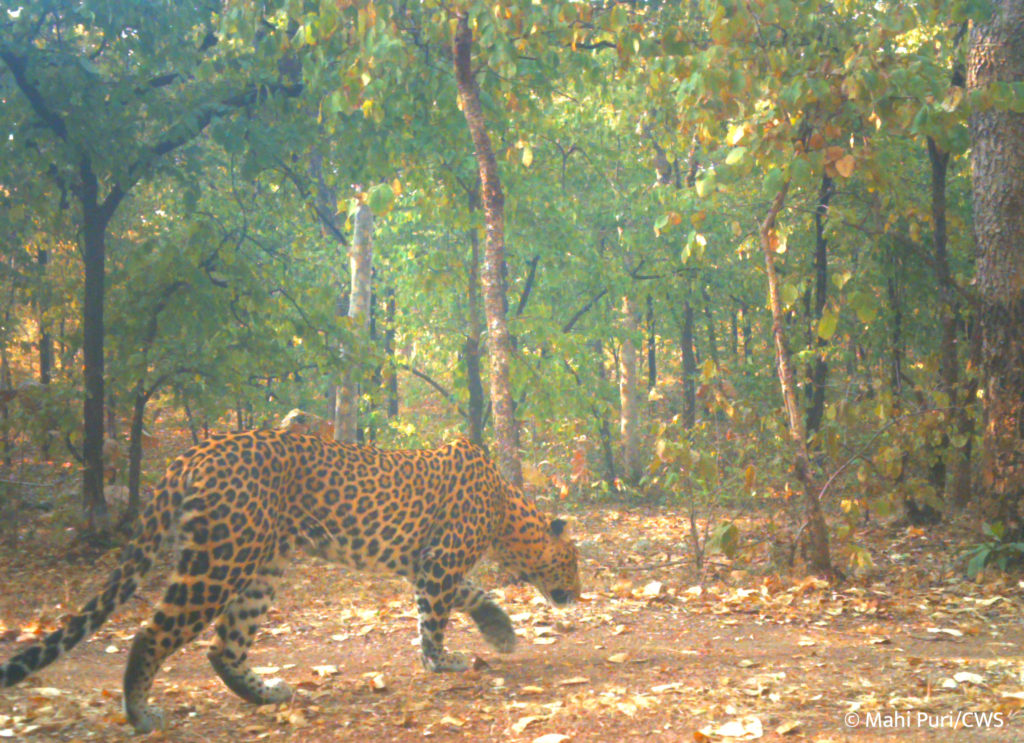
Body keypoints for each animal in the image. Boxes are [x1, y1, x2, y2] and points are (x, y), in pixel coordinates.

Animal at [0, 429, 580, 733]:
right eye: (573, 562)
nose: (577, 594)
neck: (507, 512)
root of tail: (193, 453)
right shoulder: (438, 561)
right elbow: (434, 618)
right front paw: (443, 661)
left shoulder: (423, 563)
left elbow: (468, 594)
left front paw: (499, 629)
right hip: (219, 561)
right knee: (152, 633)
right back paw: (141, 714)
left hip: (261, 568)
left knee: (223, 648)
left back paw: (268, 694)